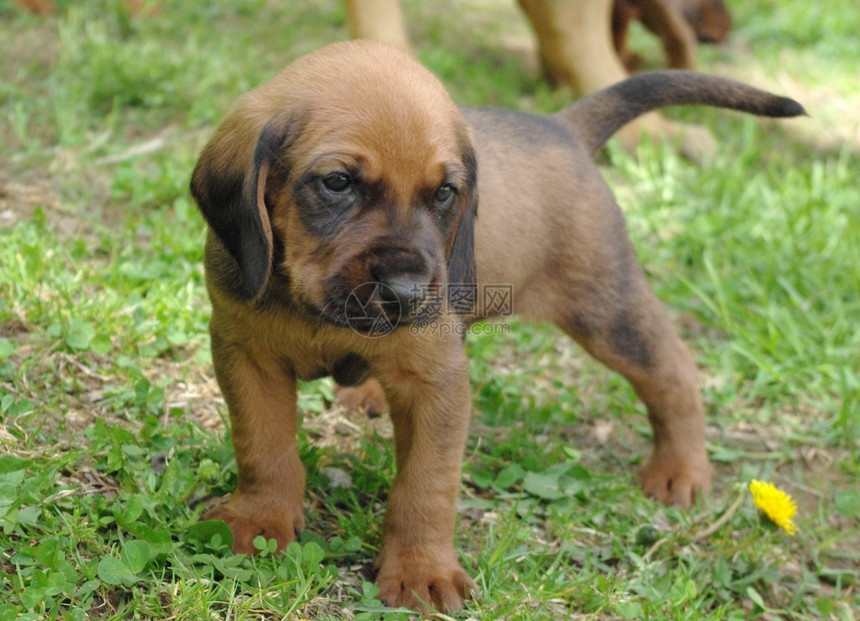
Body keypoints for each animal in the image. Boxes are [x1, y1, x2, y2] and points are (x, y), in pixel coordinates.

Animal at [191, 40, 804, 612]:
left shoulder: (437, 383)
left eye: (444, 193)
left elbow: (425, 487)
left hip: (607, 309)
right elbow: (264, 448)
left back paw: (682, 468)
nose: (409, 295)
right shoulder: (245, 355)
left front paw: (421, 570)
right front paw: (260, 520)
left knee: (672, 370)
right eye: (337, 183)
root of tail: (563, 127)